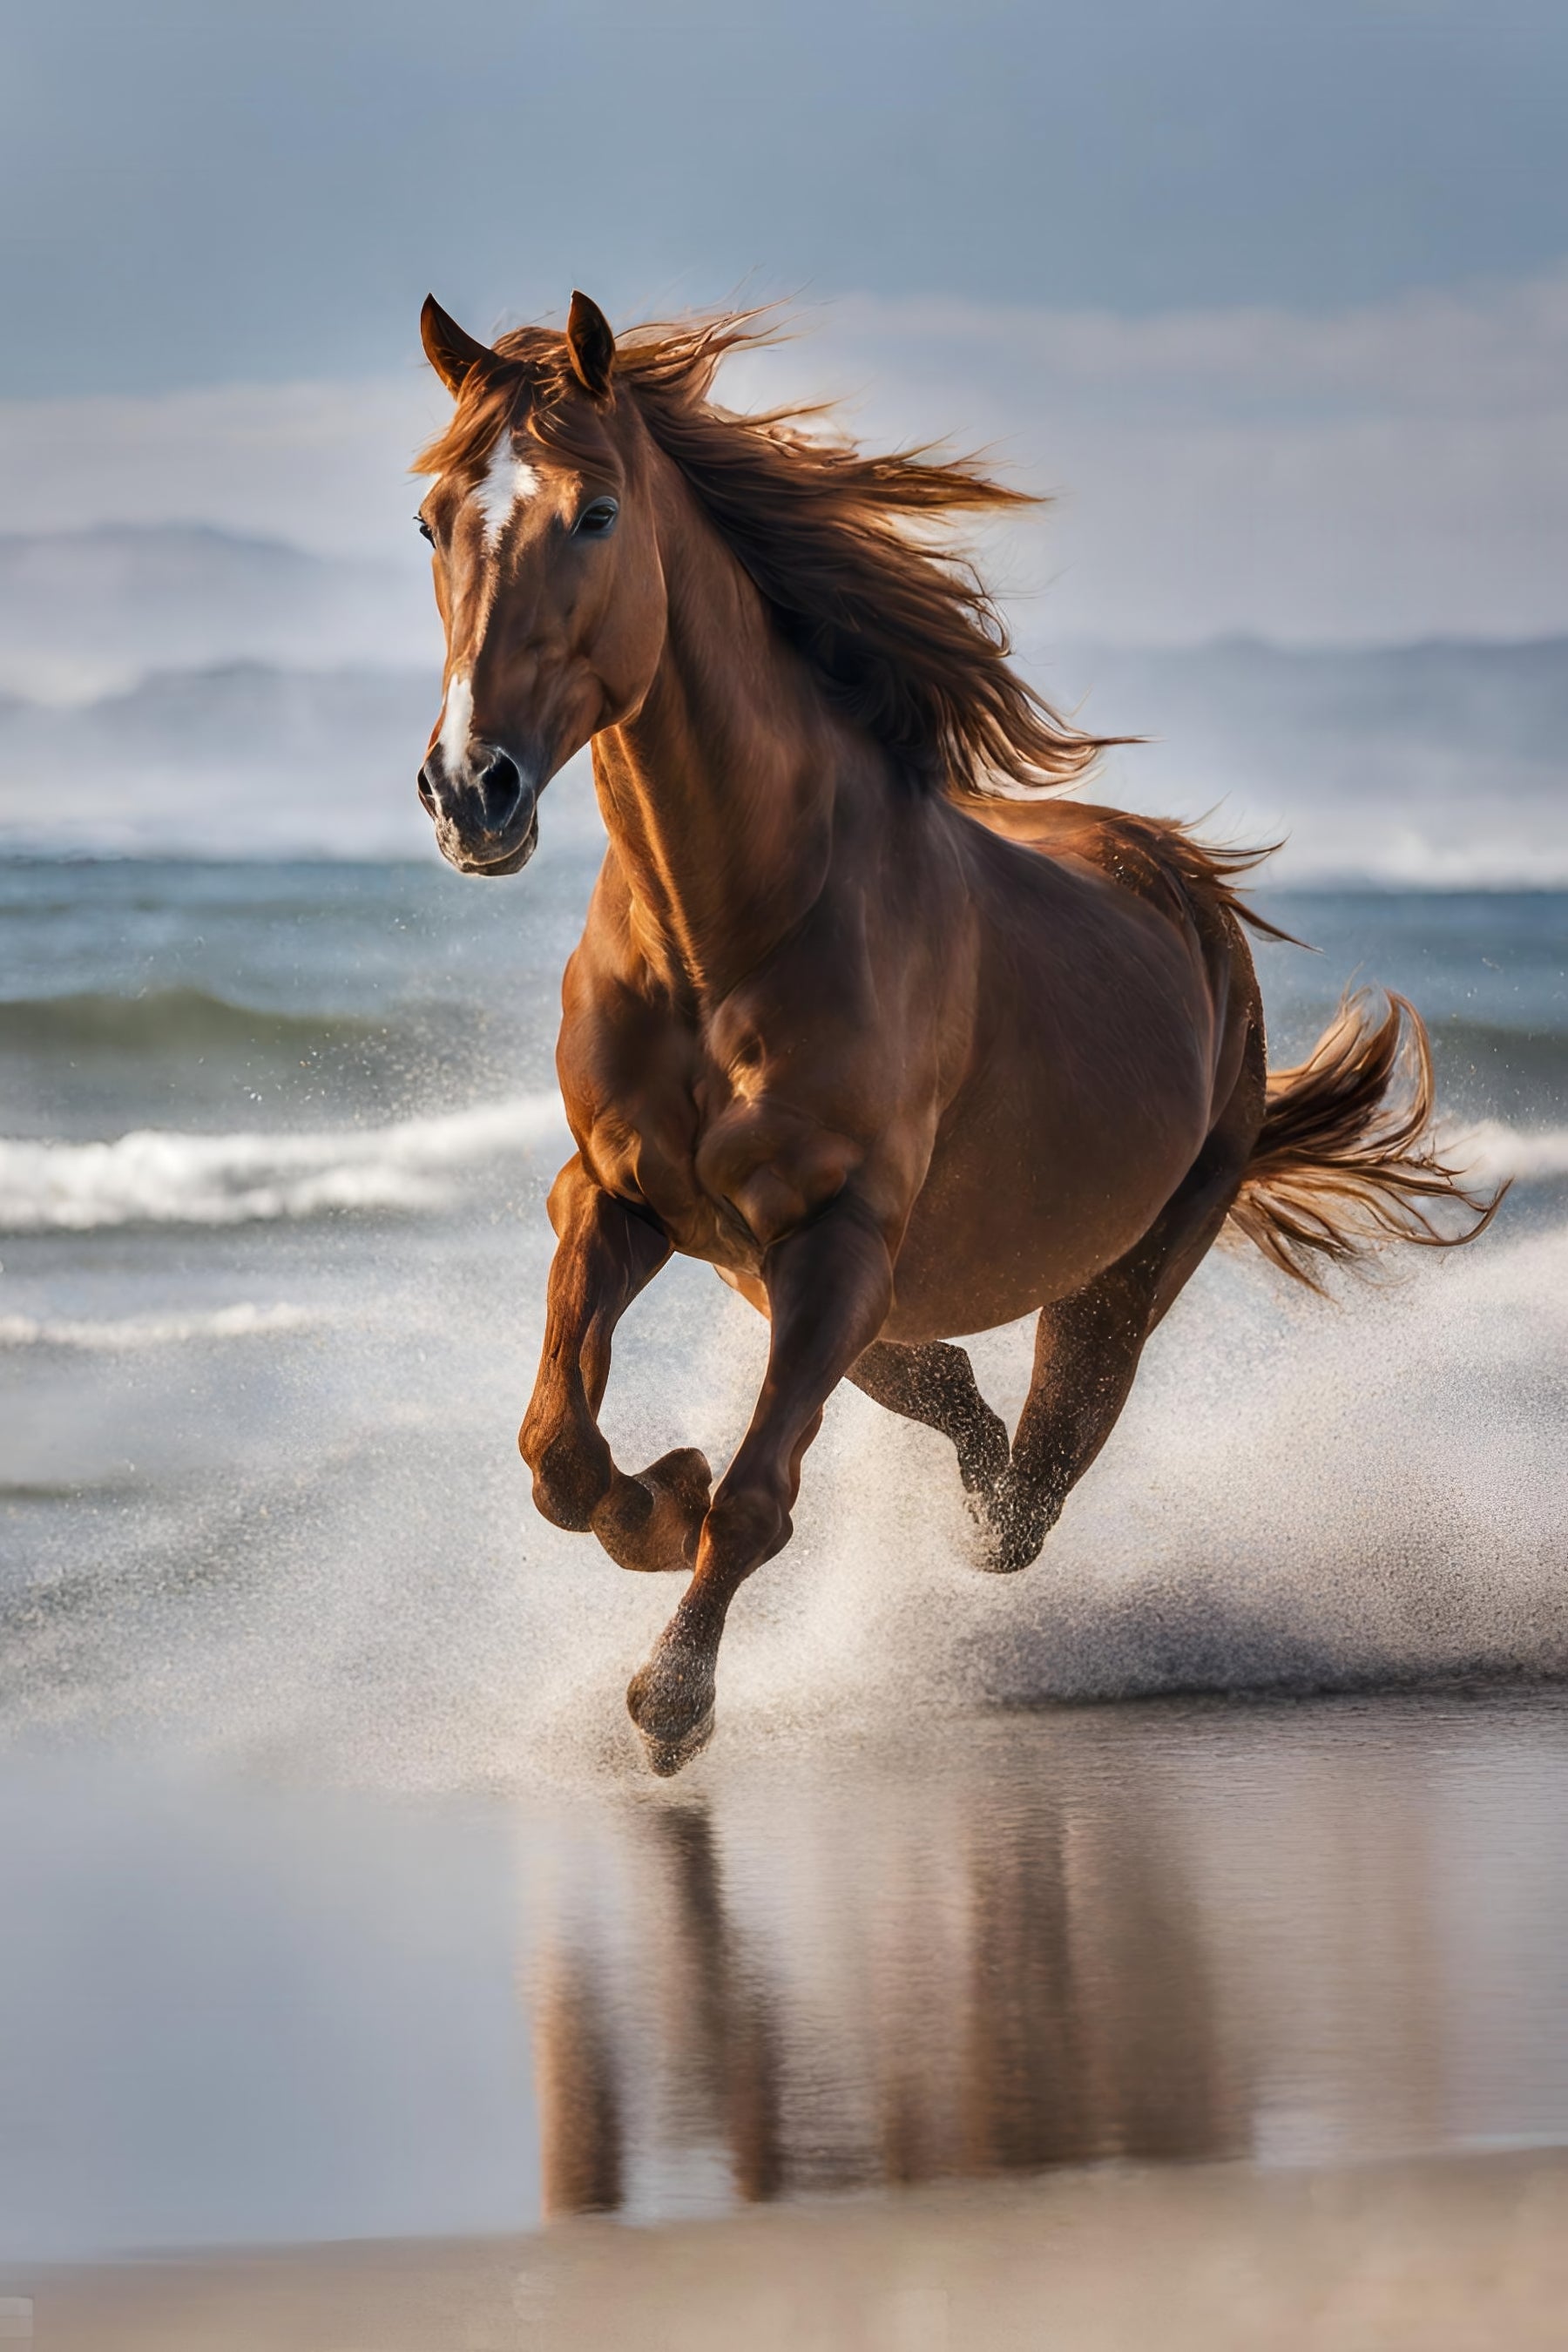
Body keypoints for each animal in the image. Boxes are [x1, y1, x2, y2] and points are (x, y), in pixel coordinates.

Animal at [411, 290, 1494, 1776]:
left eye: (597, 513)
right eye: (432, 521)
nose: (474, 789)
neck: (725, 932)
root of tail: (1188, 891)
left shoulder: (842, 1235)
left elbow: (758, 1494)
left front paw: (674, 1696)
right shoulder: (617, 1194)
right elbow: (556, 1450)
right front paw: (660, 1499)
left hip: (1104, 1283)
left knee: (1024, 1494)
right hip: (788, 1278)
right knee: (951, 1402)